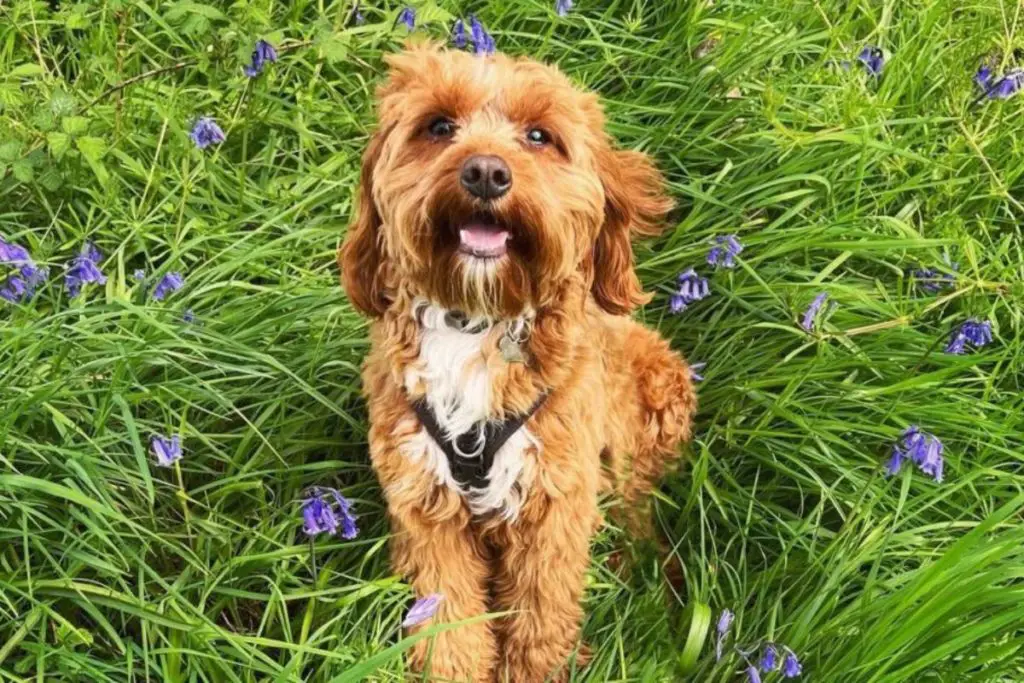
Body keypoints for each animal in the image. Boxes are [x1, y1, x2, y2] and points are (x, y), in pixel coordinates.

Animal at [339, 44, 700, 683]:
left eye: (539, 136)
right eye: (439, 126)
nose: (485, 172)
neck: (477, 323)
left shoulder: (554, 505)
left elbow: (541, 616)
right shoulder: (425, 504)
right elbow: (450, 623)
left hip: (656, 401)